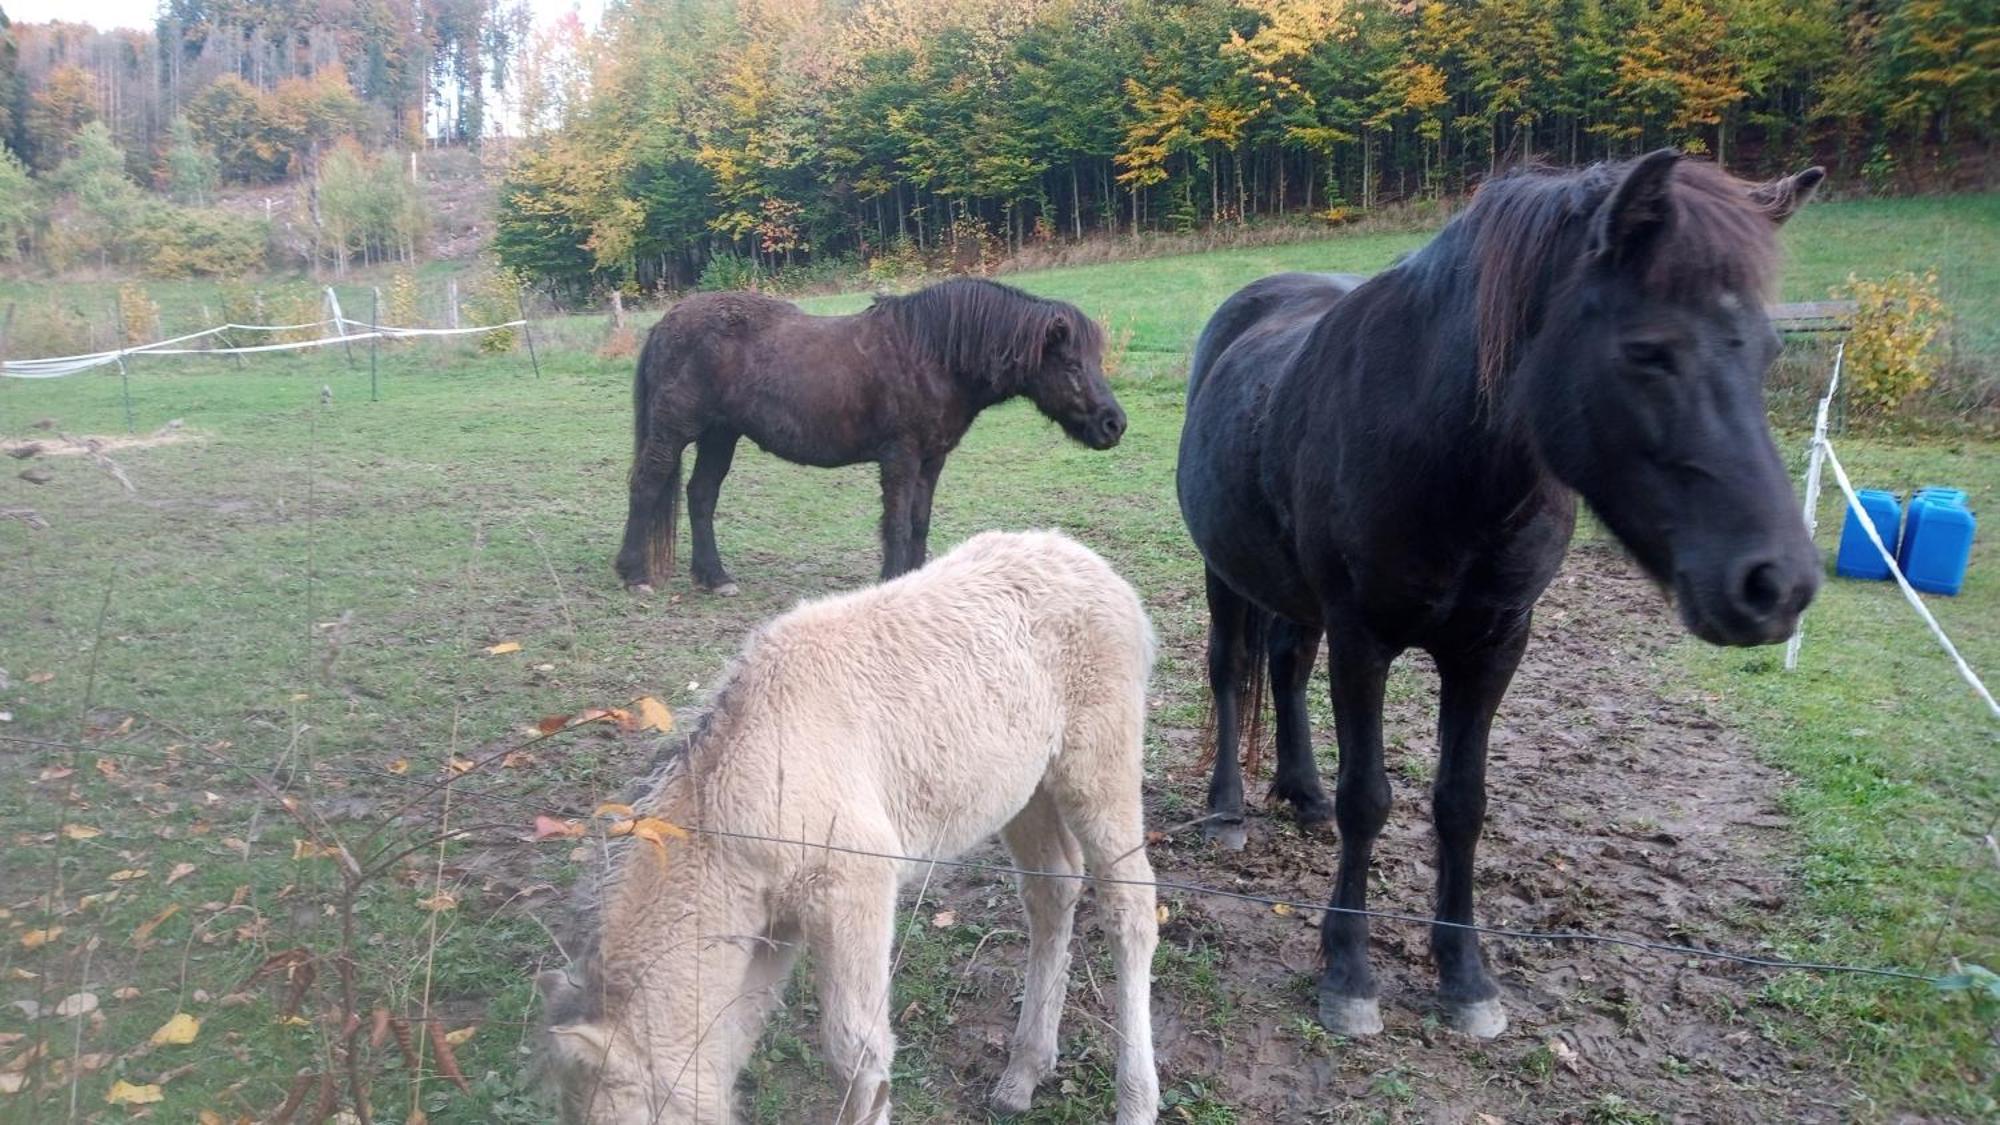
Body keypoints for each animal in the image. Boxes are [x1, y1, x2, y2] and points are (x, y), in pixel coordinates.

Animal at [608, 276, 1128, 592]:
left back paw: (714, 577)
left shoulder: (932, 460)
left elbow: (919, 523)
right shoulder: (900, 457)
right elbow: (896, 526)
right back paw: (634, 574)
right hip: (675, 430)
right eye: (1071, 364)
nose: (1114, 424)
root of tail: (665, 323)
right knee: (646, 486)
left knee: (700, 496)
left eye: (1096, 359)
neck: (931, 355)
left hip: (720, 436)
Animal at [1176, 151, 1824, 1032]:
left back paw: (1300, 792)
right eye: (1648, 350)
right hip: (1226, 569)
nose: (1776, 584)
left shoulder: (1495, 644)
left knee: (1285, 664)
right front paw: (1349, 973)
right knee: (1231, 669)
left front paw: (1466, 975)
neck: (1446, 450)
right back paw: (1228, 809)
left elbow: (1462, 802)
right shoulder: (1363, 638)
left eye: (1766, 352)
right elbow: (1367, 797)